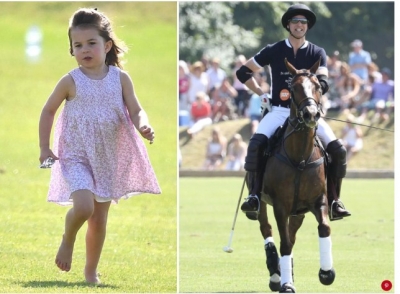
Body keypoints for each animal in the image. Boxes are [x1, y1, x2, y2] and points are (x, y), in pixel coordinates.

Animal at [255, 57, 336, 292]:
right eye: (293, 88)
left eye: (318, 86)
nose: (311, 114)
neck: (300, 157)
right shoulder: (280, 205)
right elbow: (284, 243)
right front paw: (286, 284)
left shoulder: (318, 200)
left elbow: (324, 227)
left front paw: (326, 272)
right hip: (261, 201)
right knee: (267, 229)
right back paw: (276, 274)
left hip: (298, 211)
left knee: (291, 234)